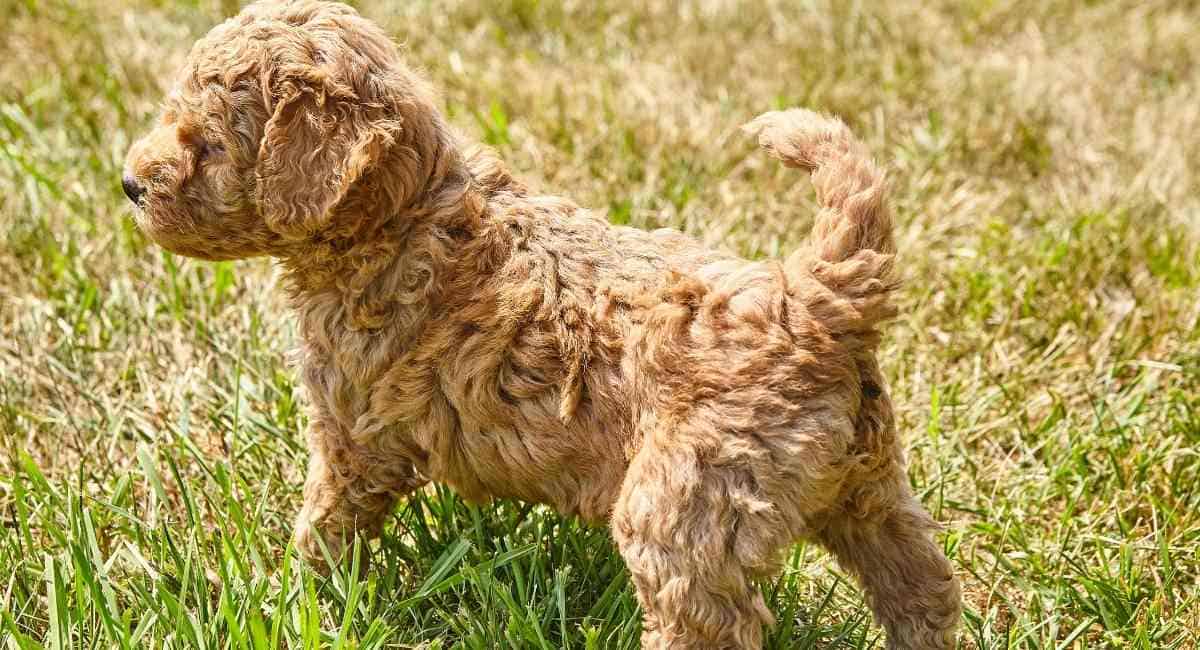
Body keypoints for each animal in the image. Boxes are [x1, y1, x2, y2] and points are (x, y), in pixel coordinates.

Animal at [121, 2, 960, 647]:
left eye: (205, 143)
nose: (130, 183)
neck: (403, 211)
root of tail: (811, 296)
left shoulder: (353, 429)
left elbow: (327, 520)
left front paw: (296, 593)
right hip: (869, 486)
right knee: (920, 582)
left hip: (686, 505)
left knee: (706, 617)